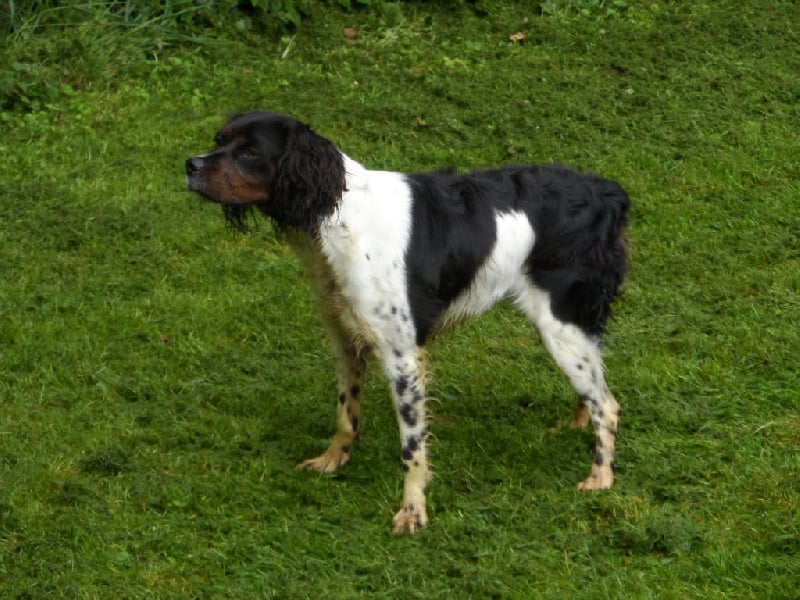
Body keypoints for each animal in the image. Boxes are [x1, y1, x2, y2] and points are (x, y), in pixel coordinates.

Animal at [186, 111, 629, 534]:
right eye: (219, 140)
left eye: (250, 152)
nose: (190, 165)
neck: (340, 216)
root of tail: (607, 193)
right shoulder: (345, 339)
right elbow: (346, 413)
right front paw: (333, 460)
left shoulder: (401, 355)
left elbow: (412, 446)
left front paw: (413, 511)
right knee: (592, 388)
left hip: (561, 323)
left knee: (607, 404)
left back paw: (600, 478)